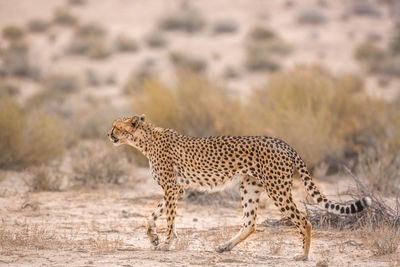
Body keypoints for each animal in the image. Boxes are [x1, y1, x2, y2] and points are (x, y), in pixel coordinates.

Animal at [107, 115, 372, 262]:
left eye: (116, 127)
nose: (108, 134)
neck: (144, 139)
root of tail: (283, 142)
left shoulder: (172, 189)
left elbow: (169, 219)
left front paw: (166, 244)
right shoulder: (177, 190)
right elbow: (151, 215)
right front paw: (153, 237)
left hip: (277, 189)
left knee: (303, 220)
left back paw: (303, 255)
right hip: (250, 186)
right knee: (250, 222)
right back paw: (226, 246)